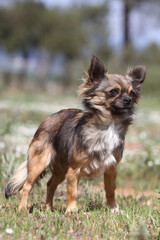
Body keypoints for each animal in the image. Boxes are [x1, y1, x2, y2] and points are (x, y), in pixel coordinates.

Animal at [5, 56, 146, 214]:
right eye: (114, 91)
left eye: (133, 93)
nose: (128, 100)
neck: (109, 125)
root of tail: (47, 119)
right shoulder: (74, 169)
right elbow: (72, 192)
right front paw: (72, 211)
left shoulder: (111, 168)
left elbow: (110, 191)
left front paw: (114, 209)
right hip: (39, 163)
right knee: (27, 186)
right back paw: (22, 208)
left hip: (60, 169)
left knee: (50, 184)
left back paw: (48, 208)